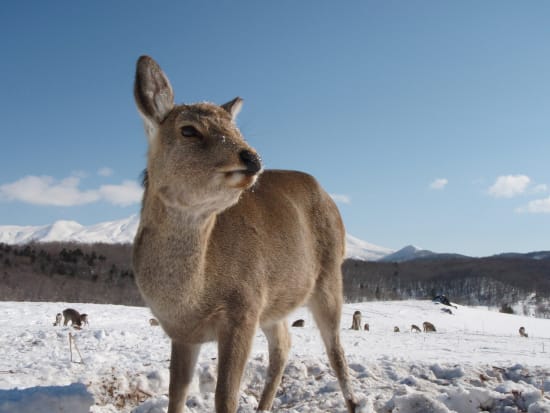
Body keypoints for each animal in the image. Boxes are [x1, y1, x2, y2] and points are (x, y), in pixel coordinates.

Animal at [132, 55, 360, 412]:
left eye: (235, 129)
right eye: (188, 130)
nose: (252, 157)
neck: (191, 296)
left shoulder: (244, 306)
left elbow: (225, 397)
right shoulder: (182, 332)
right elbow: (176, 393)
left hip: (328, 276)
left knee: (335, 350)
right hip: (274, 302)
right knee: (284, 345)